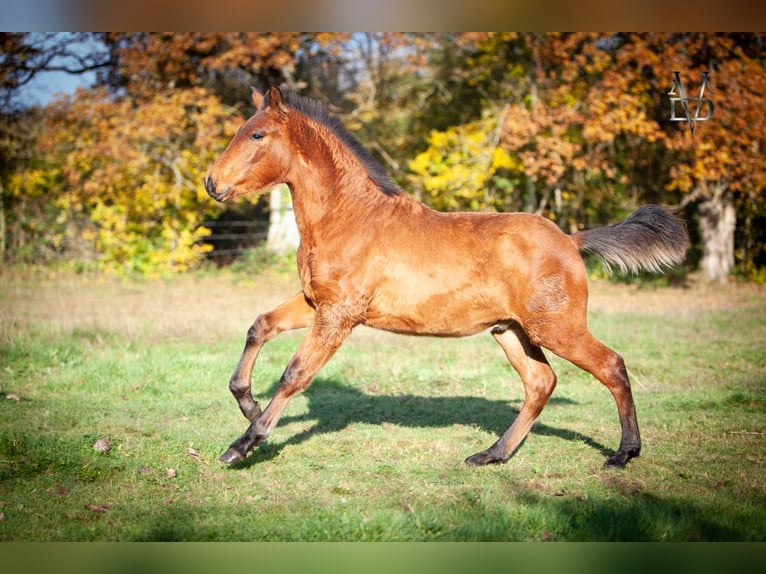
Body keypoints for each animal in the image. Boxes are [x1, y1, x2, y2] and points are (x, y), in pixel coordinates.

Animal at [202, 86, 688, 472]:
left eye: (257, 135)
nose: (211, 182)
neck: (351, 218)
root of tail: (570, 240)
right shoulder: (315, 303)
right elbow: (260, 326)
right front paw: (247, 403)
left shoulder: (338, 315)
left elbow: (294, 373)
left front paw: (242, 444)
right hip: (511, 331)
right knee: (540, 383)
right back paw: (491, 454)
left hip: (556, 328)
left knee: (611, 366)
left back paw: (624, 453)